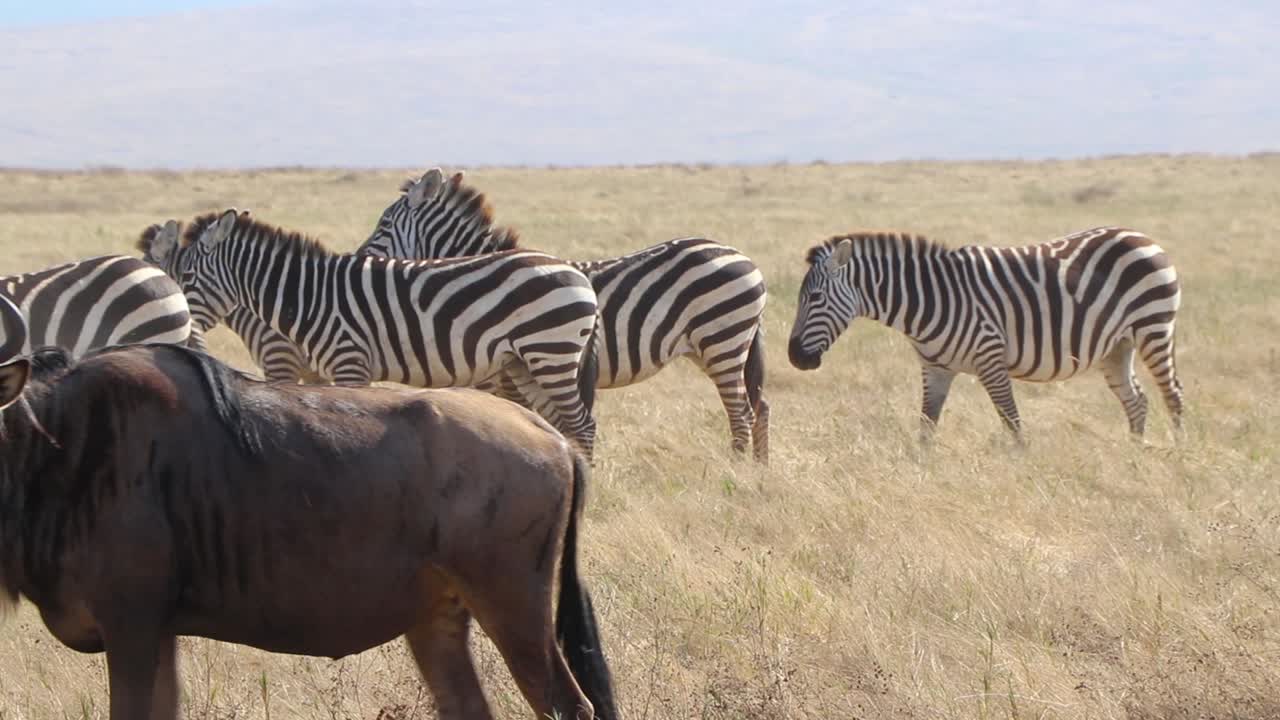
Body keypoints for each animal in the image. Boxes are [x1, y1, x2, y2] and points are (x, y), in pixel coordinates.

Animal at [170, 208, 601, 457]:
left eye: (186, 276)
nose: (182, 334)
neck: (308, 295)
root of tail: (575, 272)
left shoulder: (349, 361)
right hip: (524, 362)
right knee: (560, 423)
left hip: (551, 350)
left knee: (583, 425)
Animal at [360, 168, 771, 463]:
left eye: (383, 225)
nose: (359, 256)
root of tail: (741, 255)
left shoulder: (505, 378)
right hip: (713, 348)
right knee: (759, 405)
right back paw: (759, 469)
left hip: (721, 341)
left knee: (740, 411)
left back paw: (736, 471)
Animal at [788, 227, 1184, 441]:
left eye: (815, 298)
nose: (795, 357)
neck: (931, 299)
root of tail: (1141, 236)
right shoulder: (935, 369)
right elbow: (926, 427)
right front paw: (920, 476)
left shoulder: (990, 358)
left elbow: (1013, 425)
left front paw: (1024, 472)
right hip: (1116, 346)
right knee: (1136, 401)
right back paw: (1133, 456)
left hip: (1153, 326)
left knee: (1173, 395)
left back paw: (1178, 456)